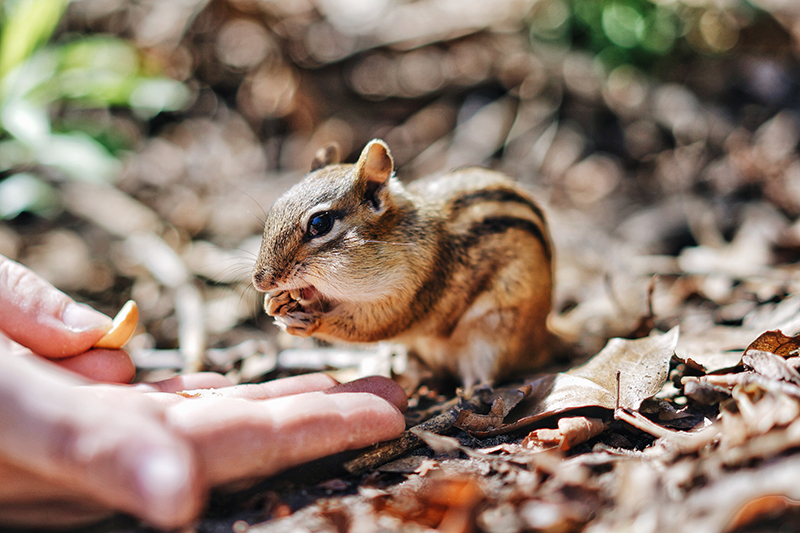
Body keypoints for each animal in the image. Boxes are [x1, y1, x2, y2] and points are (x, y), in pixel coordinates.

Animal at [252, 139, 553, 387]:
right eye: (275, 208)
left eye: (319, 223)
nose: (261, 281)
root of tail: (542, 339)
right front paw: (274, 303)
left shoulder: (414, 290)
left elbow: (373, 325)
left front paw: (310, 322)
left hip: (490, 340)